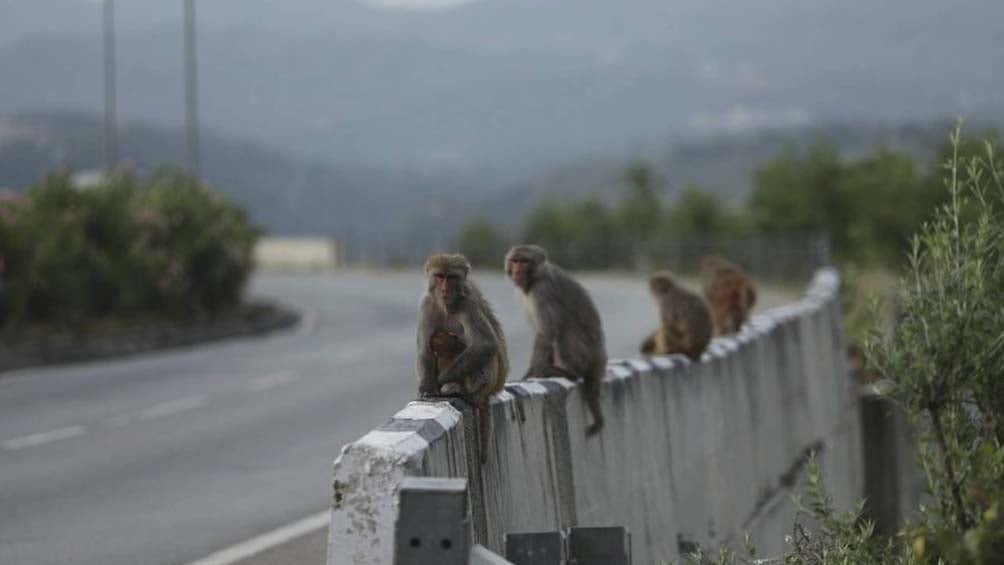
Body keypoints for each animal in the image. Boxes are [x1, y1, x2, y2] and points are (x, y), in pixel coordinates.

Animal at [506, 243, 606, 437]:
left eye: (524, 261)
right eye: (515, 261)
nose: (517, 270)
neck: (534, 279)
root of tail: (600, 358)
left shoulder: (542, 290)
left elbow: (545, 333)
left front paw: (533, 373)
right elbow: (542, 333)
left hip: (586, 354)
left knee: (565, 332)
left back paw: (569, 372)